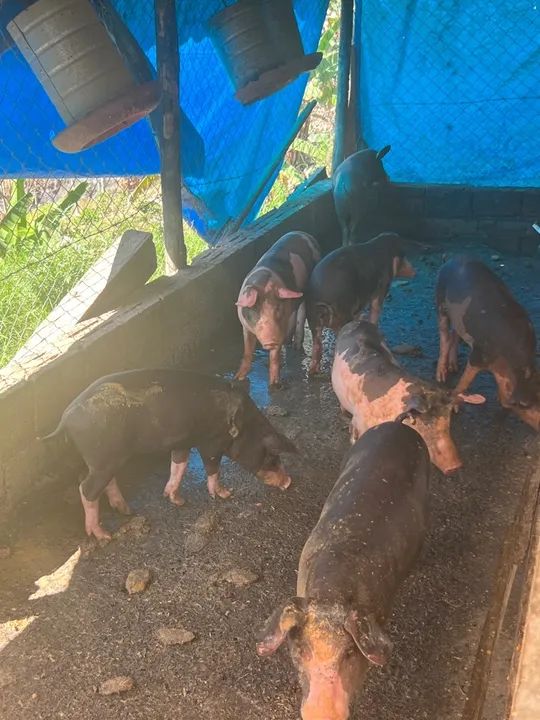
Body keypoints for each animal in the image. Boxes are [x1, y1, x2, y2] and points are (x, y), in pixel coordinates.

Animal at [41, 369, 296, 540]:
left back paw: (126, 510)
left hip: (107, 459)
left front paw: (176, 500)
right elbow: (212, 468)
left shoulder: (182, 442)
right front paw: (225, 494)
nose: (289, 482)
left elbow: (178, 465)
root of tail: (66, 419)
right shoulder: (210, 443)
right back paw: (103, 535)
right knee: (86, 488)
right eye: (272, 457)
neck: (244, 428)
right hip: (102, 457)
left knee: (103, 482)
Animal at [235, 231, 321, 387]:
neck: (264, 283)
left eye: (278, 308)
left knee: (301, 314)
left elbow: (274, 357)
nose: (271, 340)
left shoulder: (281, 326)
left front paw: (275, 385)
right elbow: (247, 351)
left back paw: (295, 345)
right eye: (256, 310)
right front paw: (237, 378)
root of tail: (304, 233)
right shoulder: (245, 326)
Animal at [306, 232, 415, 375]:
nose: (414, 271)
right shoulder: (382, 287)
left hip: (312, 319)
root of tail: (322, 302)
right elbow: (376, 309)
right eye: (404, 255)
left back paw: (313, 371)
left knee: (317, 345)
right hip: (342, 315)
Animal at [436, 256, 540, 430]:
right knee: (444, 335)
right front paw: (455, 408)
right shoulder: (478, 355)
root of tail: (455, 258)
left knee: (455, 333)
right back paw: (441, 376)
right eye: (534, 409)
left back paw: (453, 367)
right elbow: (464, 382)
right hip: (440, 301)